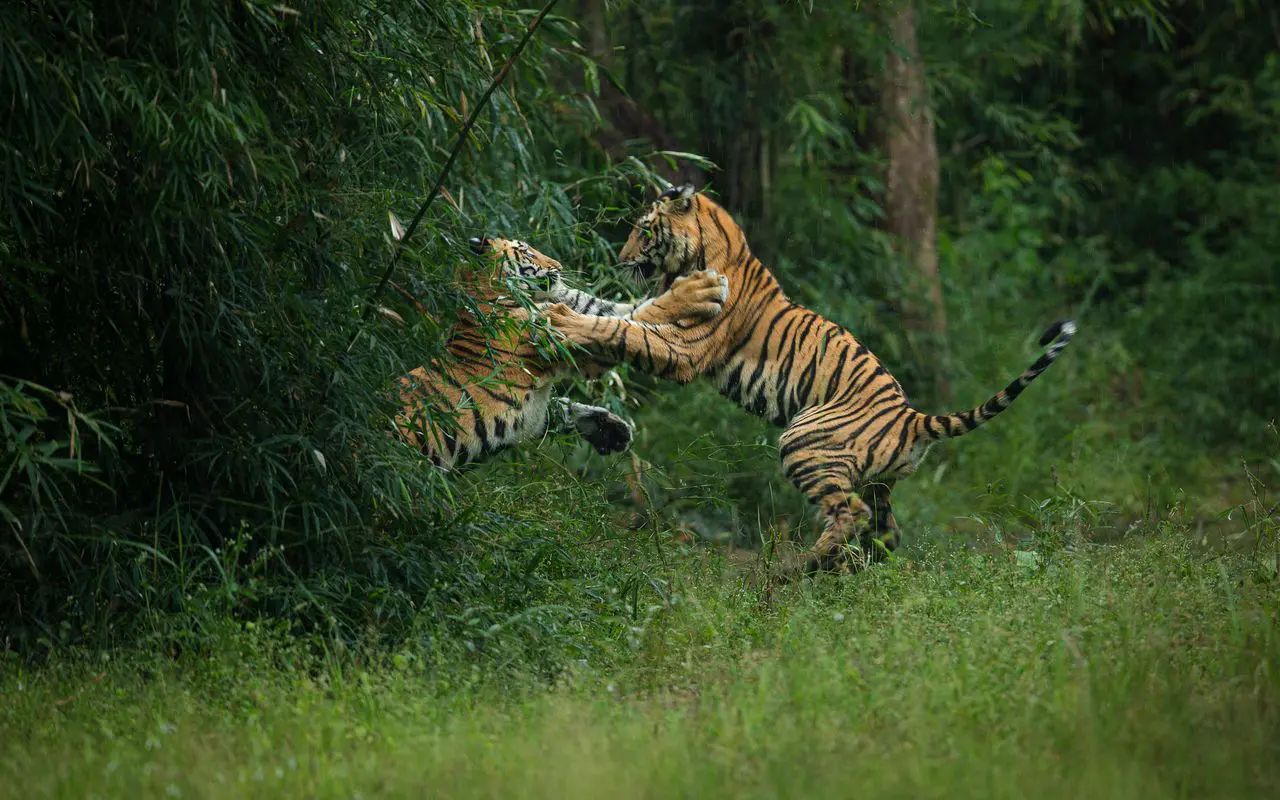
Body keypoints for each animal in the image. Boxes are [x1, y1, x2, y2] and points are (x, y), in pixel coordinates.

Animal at [394, 235, 730, 470]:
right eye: (527, 252)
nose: (557, 265)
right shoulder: (558, 339)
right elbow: (630, 321)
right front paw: (702, 288)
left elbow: (564, 405)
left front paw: (613, 430)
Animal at [541, 184, 1076, 576]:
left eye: (644, 230)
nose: (620, 258)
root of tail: (912, 418)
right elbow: (614, 317)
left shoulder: (685, 347)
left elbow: (620, 328)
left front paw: (561, 319)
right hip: (876, 481)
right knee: (886, 531)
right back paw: (848, 571)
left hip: (804, 442)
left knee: (850, 515)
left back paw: (796, 569)